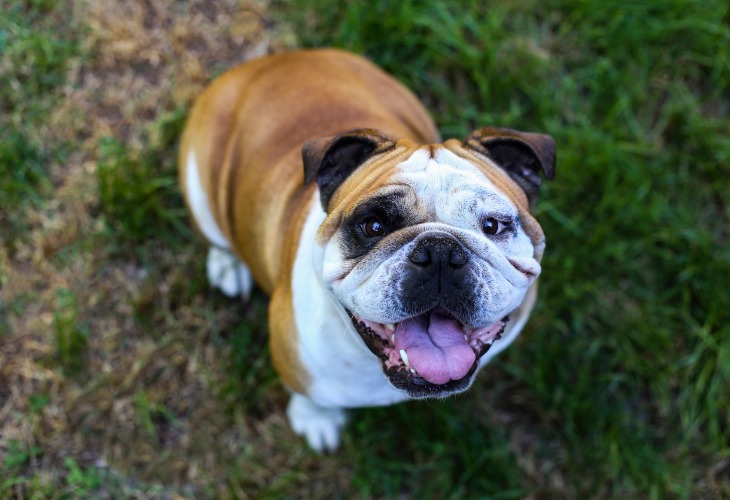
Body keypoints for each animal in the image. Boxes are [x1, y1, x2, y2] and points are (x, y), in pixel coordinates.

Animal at [179, 48, 556, 452]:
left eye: (492, 226)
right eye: (373, 226)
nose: (439, 252)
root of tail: (277, 59)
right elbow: (310, 395)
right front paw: (316, 420)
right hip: (199, 187)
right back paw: (228, 265)